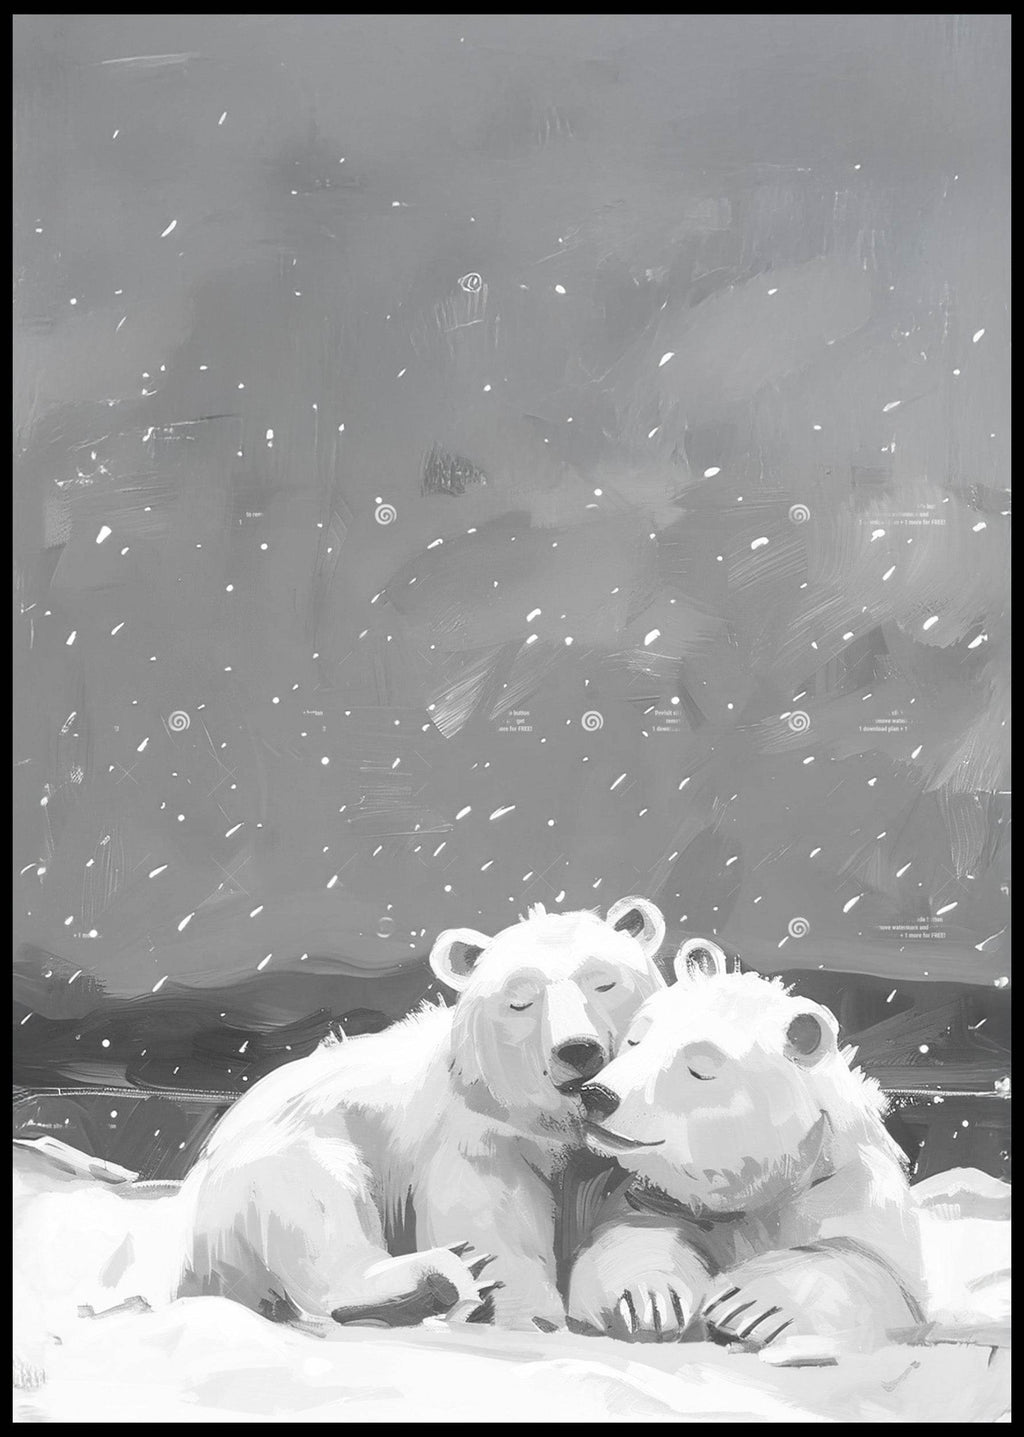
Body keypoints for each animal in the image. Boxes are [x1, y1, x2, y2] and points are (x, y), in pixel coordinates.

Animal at [174, 896, 666, 1334]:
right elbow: (496, 1219)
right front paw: (529, 1316)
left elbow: (638, 1213)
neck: (555, 1124)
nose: (578, 1049)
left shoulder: (627, 1144)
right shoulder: (482, 1136)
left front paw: (646, 1302)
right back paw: (426, 1282)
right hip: (281, 1155)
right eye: (520, 1001)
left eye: (604, 983)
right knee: (318, 1200)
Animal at [567, 937, 926, 1356]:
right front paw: (648, 1297)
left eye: (700, 1069)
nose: (598, 1094)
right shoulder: (660, 1199)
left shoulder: (847, 1196)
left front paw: (749, 1304)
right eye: (636, 1040)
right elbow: (630, 1233)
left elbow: (876, 1279)